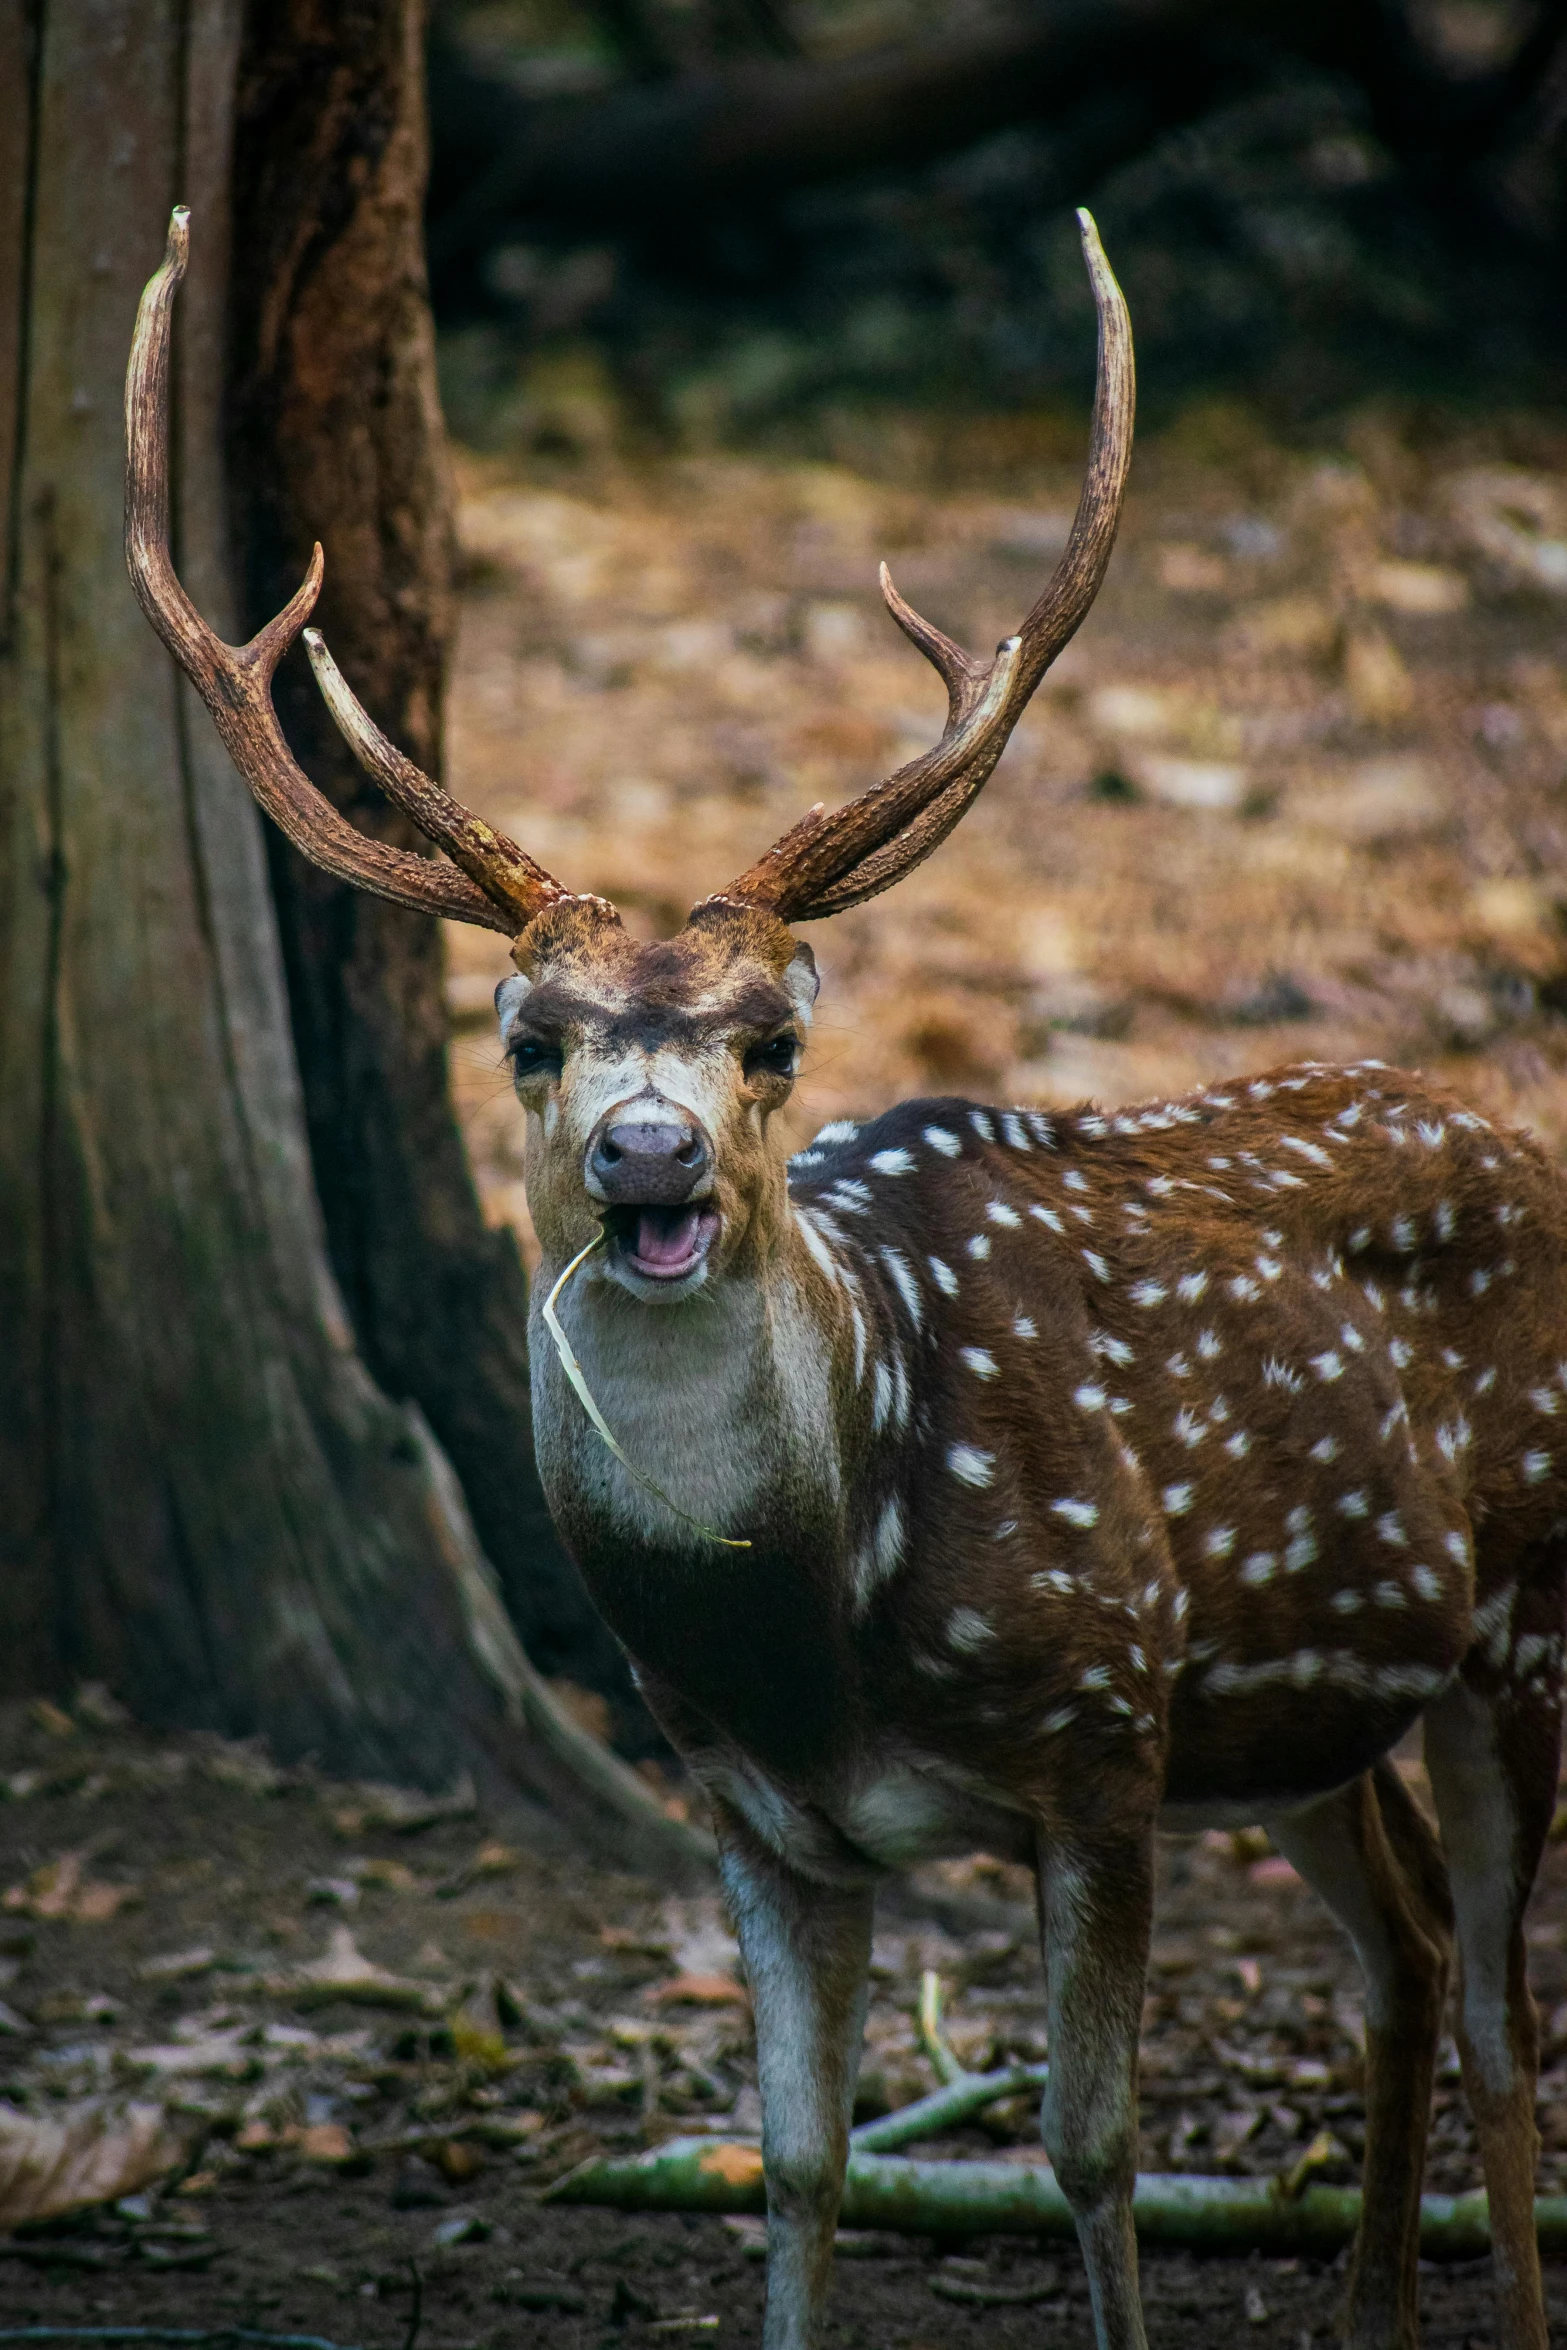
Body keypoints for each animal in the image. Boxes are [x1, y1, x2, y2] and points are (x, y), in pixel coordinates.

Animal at [128, 206, 1559, 2350]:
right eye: (528, 1038)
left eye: (773, 1038)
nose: (647, 1155)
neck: (815, 1628)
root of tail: (1512, 1130)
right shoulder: (752, 1814)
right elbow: (793, 2165)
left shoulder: (1102, 1733)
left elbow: (1087, 2150)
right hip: (1299, 1710)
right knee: (1399, 1954)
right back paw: (1372, 2307)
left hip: (1518, 1617)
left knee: (1494, 2013)